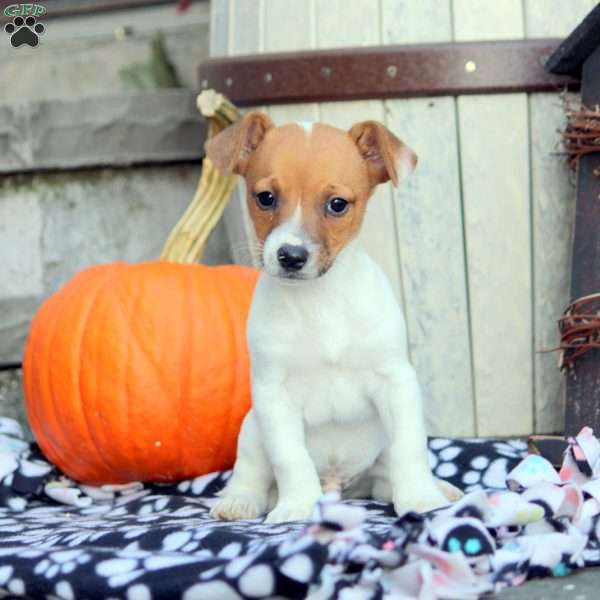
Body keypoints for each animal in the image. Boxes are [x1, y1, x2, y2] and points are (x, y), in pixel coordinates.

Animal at [205, 115, 460, 524]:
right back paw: (238, 501)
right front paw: (296, 506)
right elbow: (290, 458)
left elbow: (410, 449)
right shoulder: (274, 396)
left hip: (378, 458)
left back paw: (438, 488)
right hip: (252, 429)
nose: (291, 256)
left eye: (337, 204)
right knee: (251, 475)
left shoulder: (396, 383)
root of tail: (340, 487)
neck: (320, 302)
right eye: (265, 198)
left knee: (386, 480)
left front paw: (421, 499)